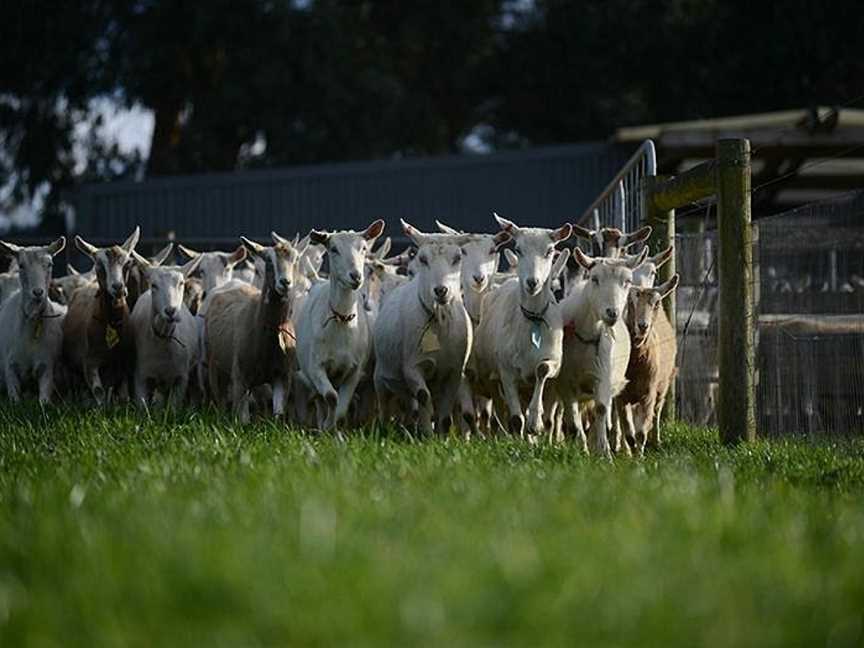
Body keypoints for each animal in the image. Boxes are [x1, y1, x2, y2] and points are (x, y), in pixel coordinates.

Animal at [0, 238, 66, 402]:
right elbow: (15, 401)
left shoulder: (47, 366)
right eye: (22, 265)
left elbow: (44, 401)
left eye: (50, 264)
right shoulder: (9, 368)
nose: (37, 292)